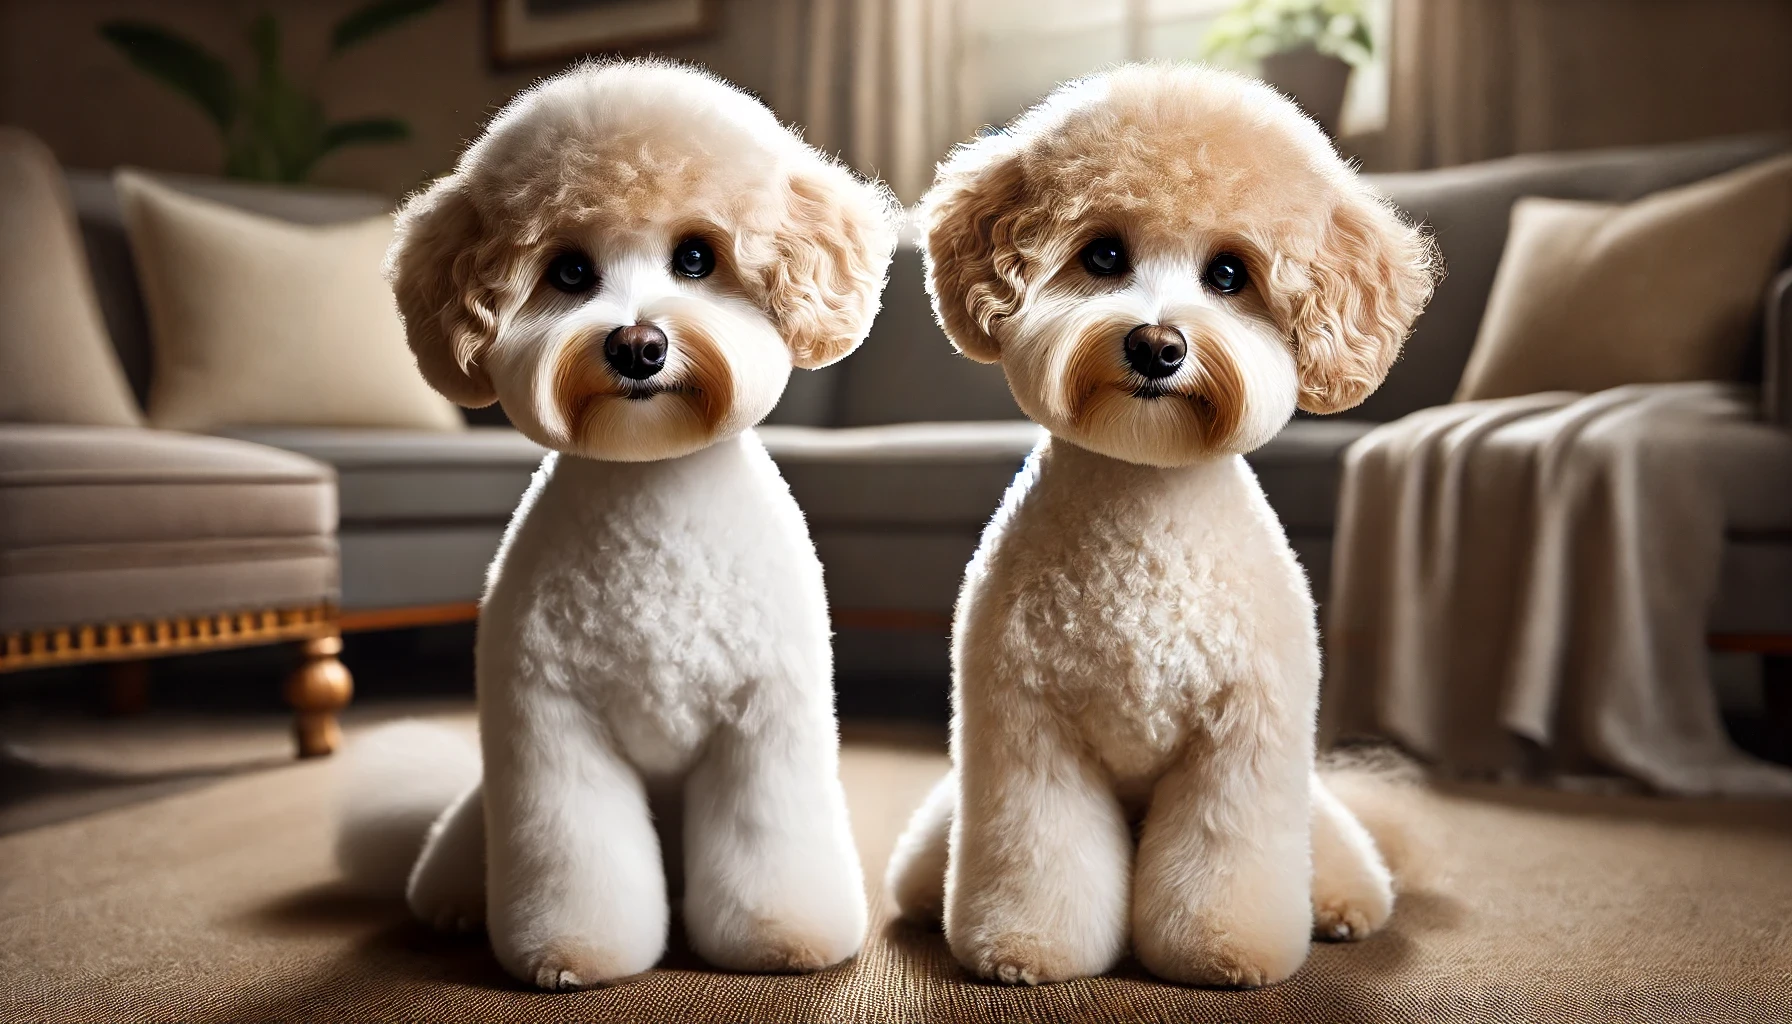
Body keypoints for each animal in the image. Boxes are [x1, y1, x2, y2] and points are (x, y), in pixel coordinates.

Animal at [331, 64, 903, 997]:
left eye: (697, 257)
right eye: (568, 270)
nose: (638, 345)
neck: (651, 482)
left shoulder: (764, 725)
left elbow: (770, 842)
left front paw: (782, 939)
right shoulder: (553, 730)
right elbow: (577, 857)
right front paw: (573, 954)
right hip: (485, 805)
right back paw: (452, 904)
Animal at [881, 65, 1440, 997]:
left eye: (1229, 273)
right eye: (1104, 255)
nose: (1156, 345)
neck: (1143, 499)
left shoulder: (1241, 746)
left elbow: (1225, 861)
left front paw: (1225, 951)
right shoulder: (1028, 737)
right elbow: (1041, 853)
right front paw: (1026, 946)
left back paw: (1339, 907)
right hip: (949, 812)